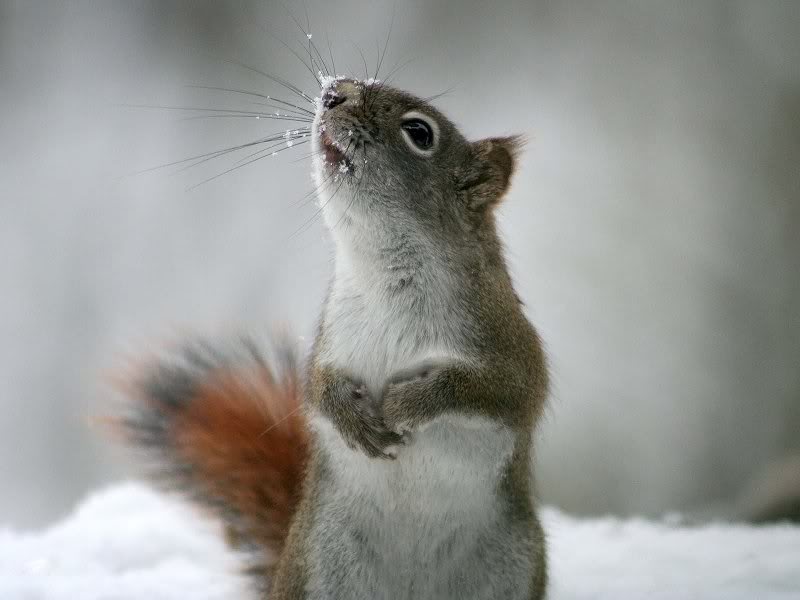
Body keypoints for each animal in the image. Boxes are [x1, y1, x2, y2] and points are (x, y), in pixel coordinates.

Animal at [118, 76, 549, 599]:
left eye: (420, 133)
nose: (332, 92)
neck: (383, 273)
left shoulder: (507, 345)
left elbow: (496, 391)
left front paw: (409, 403)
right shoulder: (330, 341)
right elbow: (316, 389)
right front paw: (350, 416)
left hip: (509, 568)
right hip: (322, 566)